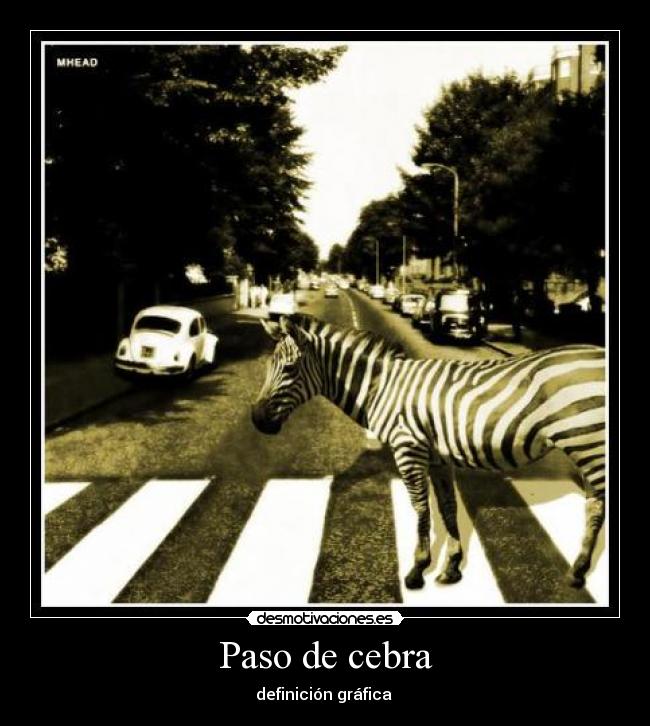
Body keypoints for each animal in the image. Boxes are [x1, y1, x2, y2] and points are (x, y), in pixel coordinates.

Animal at [251, 314, 606, 592]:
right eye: (269, 366)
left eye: (291, 368)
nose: (256, 420)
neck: (382, 388)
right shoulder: (437, 457)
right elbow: (447, 507)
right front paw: (452, 566)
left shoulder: (408, 448)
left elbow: (421, 507)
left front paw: (417, 569)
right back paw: (578, 570)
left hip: (589, 443)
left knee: (596, 509)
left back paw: (578, 572)